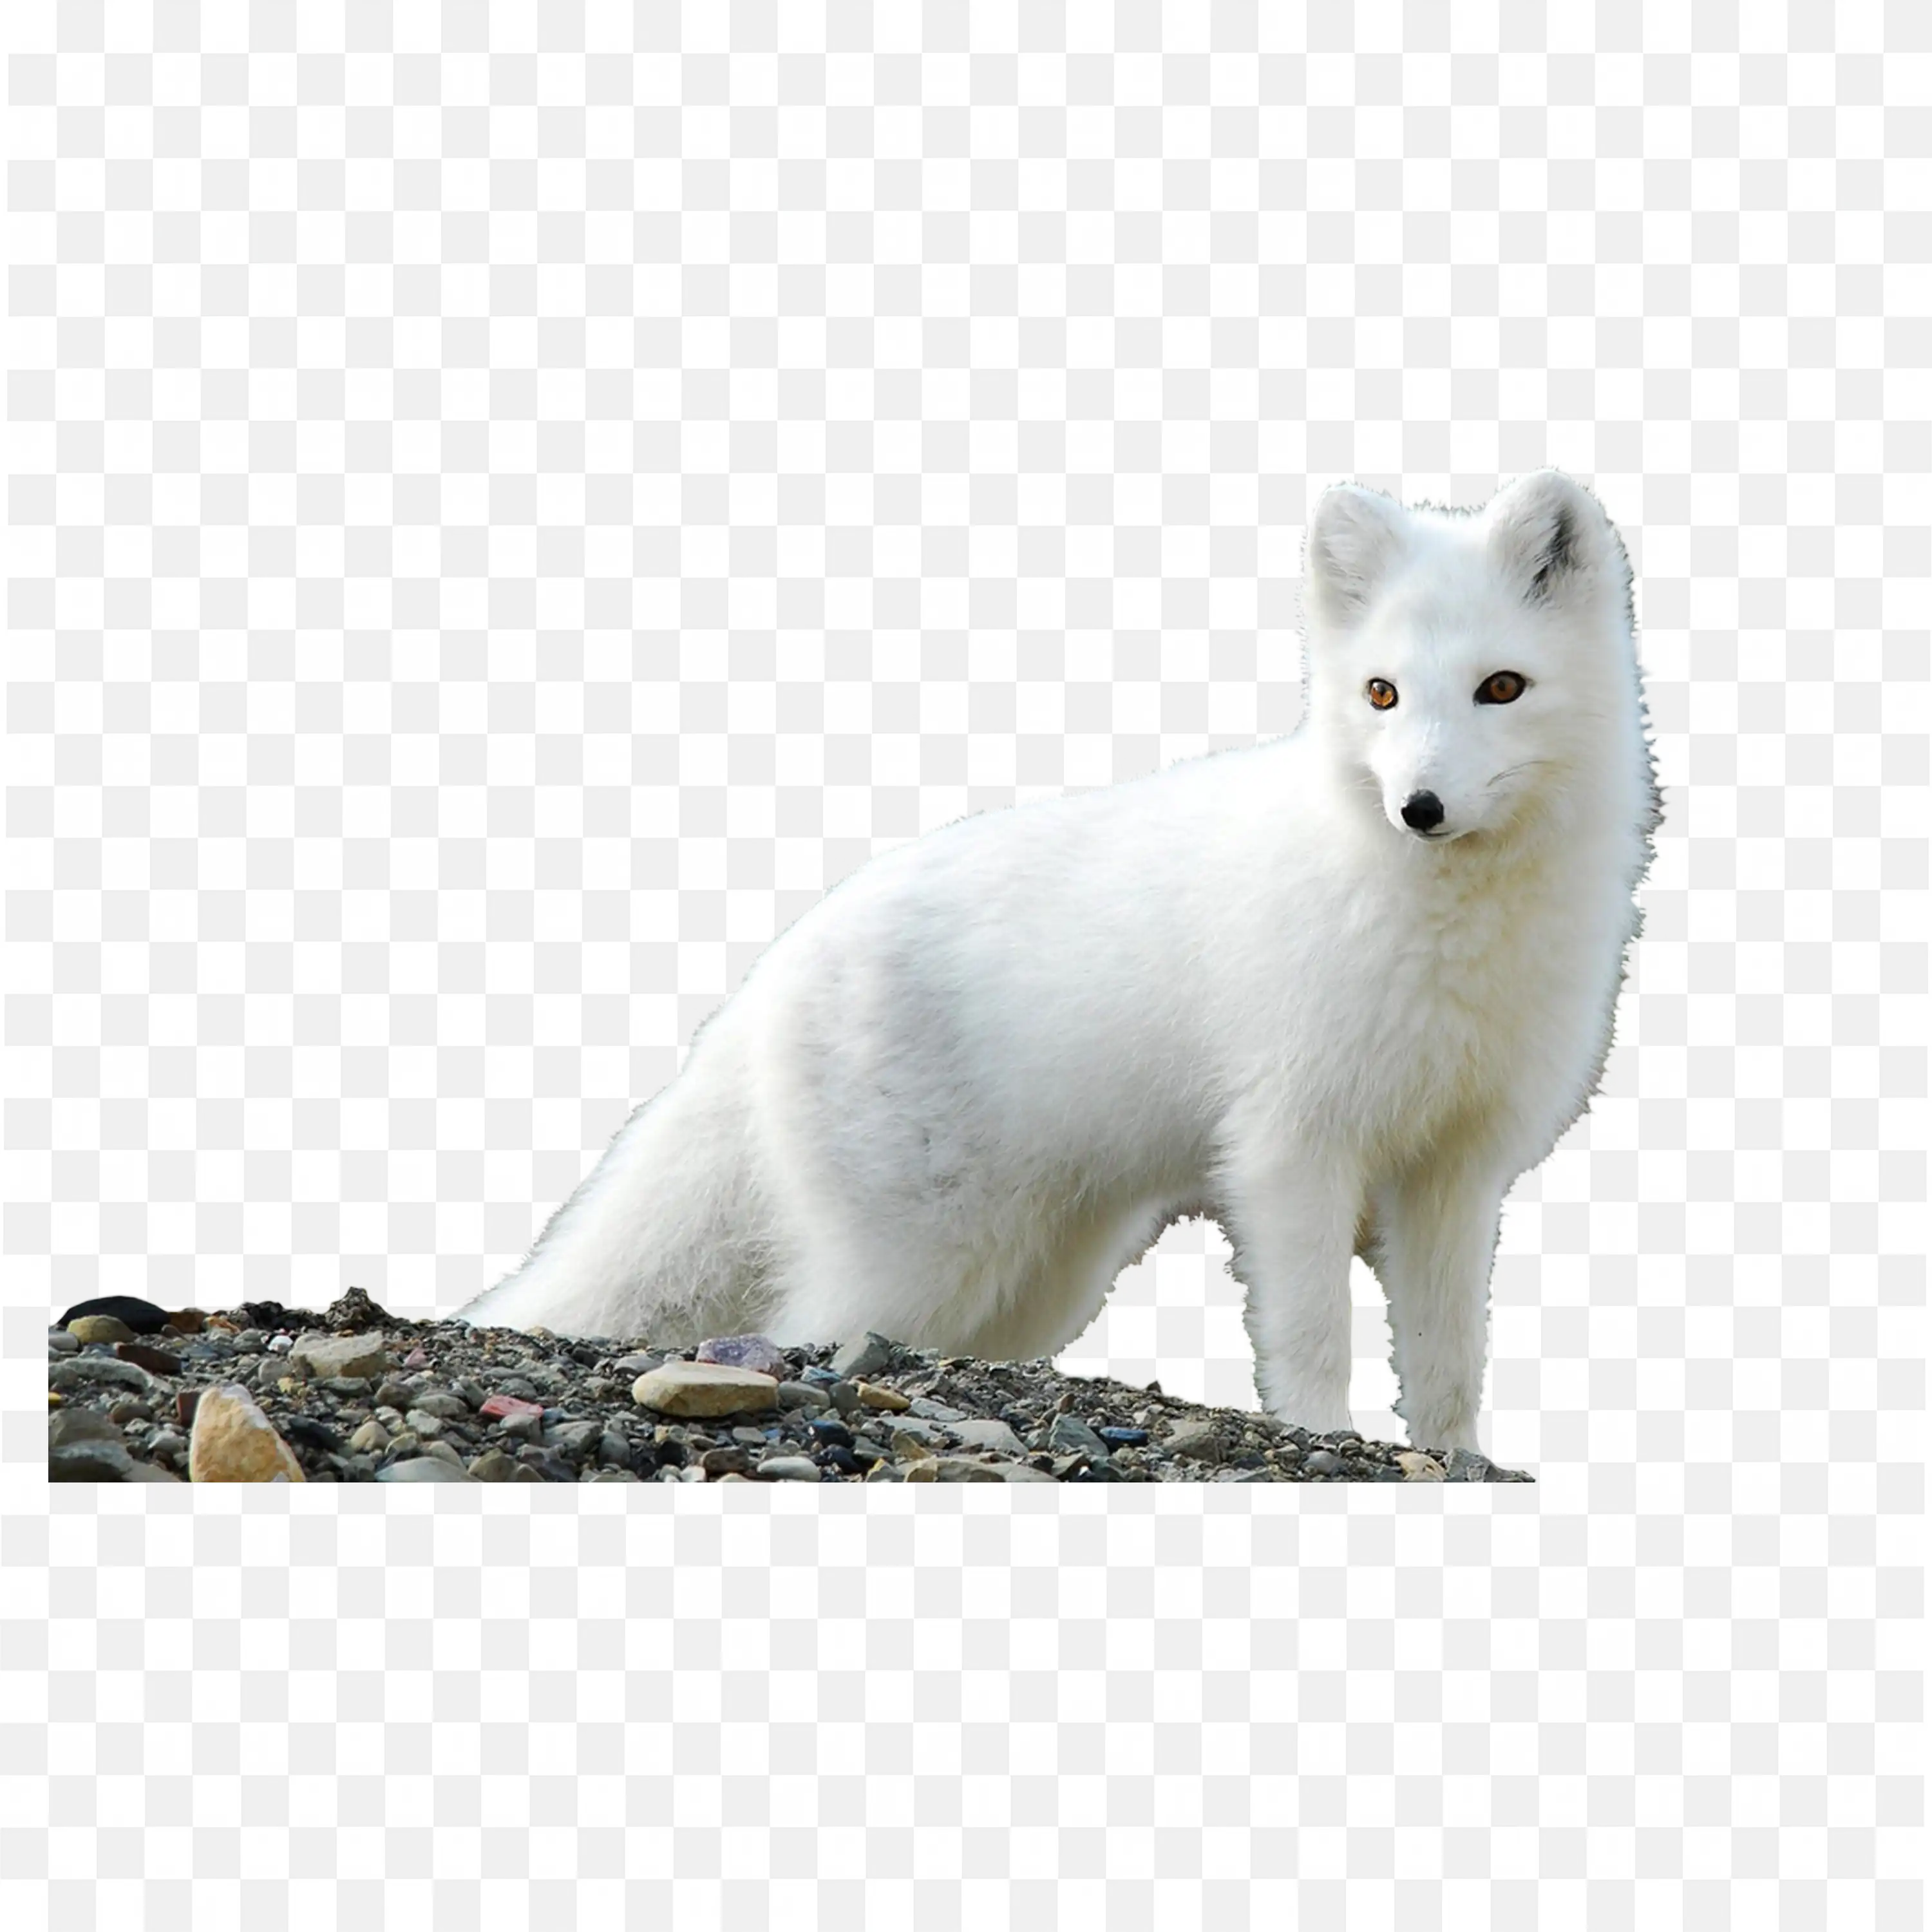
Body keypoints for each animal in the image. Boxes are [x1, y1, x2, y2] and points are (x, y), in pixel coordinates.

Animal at [458, 468, 1663, 1453]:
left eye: (1501, 687)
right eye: (1382, 694)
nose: (1419, 807)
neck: (1455, 929)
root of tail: (779, 961)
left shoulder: (1458, 1168)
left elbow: (1453, 1356)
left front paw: (1461, 1458)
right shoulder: (1292, 1145)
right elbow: (1315, 1332)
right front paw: (1327, 1437)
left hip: (1042, 1269)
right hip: (921, 1256)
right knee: (806, 1330)